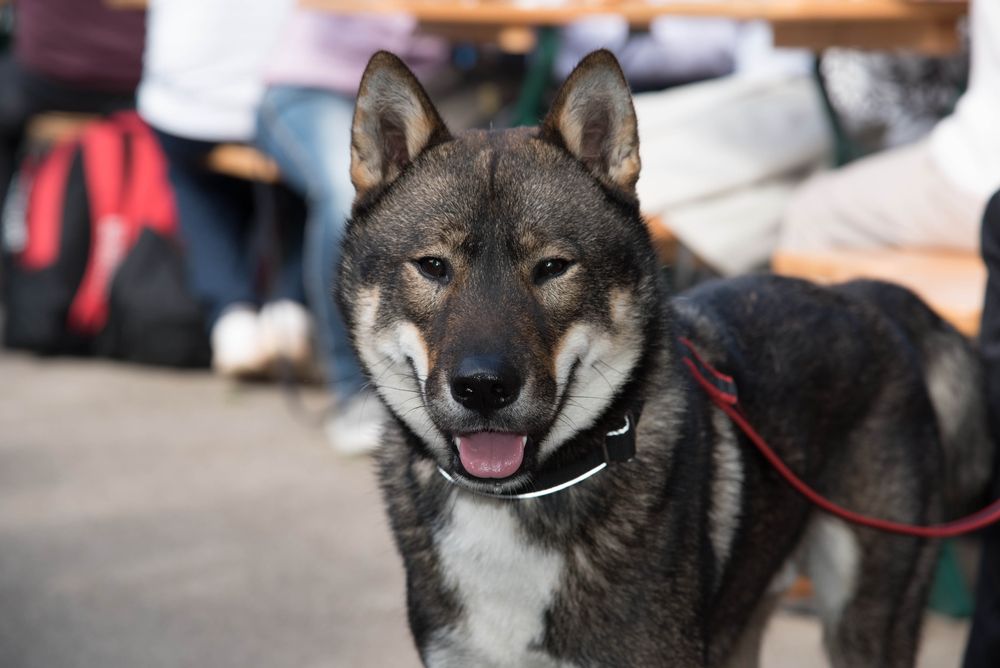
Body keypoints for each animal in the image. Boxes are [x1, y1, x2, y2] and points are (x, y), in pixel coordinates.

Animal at [334, 49, 992, 664]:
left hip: (865, 617)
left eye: (552, 267)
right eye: (432, 266)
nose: (483, 387)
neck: (522, 498)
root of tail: (869, 294)